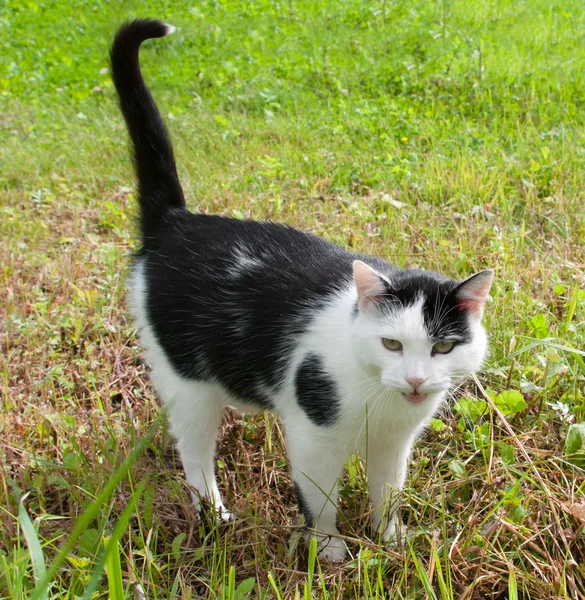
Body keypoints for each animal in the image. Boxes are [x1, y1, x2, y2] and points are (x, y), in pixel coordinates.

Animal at [109, 18, 492, 564]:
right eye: (391, 343)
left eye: (443, 346)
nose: (417, 381)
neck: (380, 397)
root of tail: (175, 221)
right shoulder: (314, 438)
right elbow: (321, 498)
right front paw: (330, 548)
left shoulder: (394, 444)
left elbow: (388, 490)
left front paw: (391, 539)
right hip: (186, 379)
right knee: (194, 449)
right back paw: (214, 513)